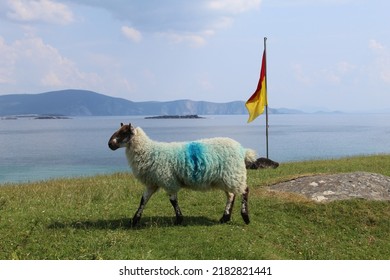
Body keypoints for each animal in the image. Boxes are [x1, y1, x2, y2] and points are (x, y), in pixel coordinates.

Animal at [108, 123, 258, 226]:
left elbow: (173, 200)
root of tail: (243, 150)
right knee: (231, 195)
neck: (149, 151)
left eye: (123, 133)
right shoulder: (152, 182)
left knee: (245, 191)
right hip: (226, 178)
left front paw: (179, 219)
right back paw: (225, 218)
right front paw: (134, 220)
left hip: (233, 174)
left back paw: (245, 217)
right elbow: (143, 200)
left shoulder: (168, 180)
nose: (109, 144)